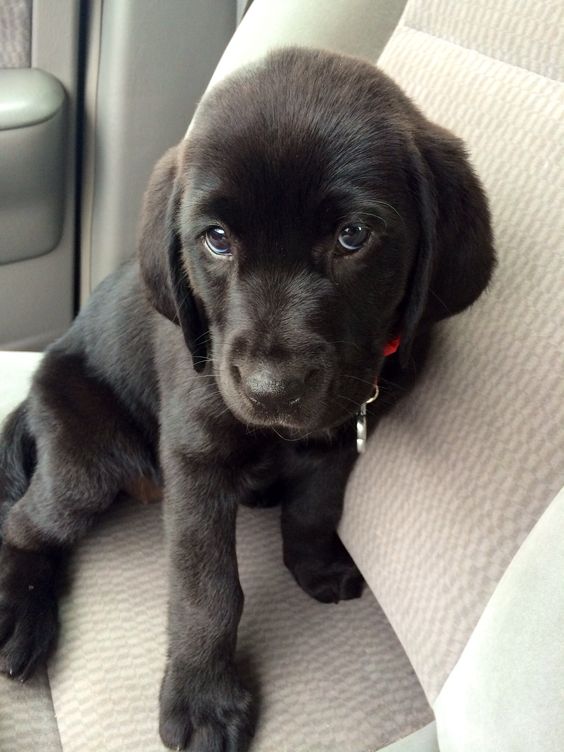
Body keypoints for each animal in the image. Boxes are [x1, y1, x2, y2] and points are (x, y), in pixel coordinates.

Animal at [0, 48, 494, 752]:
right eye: (216, 239)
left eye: (353, 235)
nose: (270, 389)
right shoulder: (195, 458)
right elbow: (207, 590)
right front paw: (203, 697)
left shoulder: (341, 434)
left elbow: (314, 508)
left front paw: (314, 564)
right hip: (86, 460)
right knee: (25, 525)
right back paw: (23, 615)